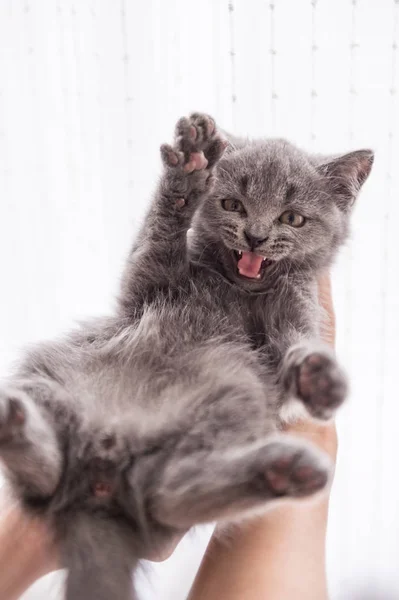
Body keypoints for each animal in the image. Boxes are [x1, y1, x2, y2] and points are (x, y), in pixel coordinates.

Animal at [0, 113, 376, 600]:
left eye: (292, 217)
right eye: (233, 204)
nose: (256, 237)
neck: (236, 291)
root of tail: (101, 474)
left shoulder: (296, 309)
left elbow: (297, 343)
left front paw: (317, 377)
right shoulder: (146, 286)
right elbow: (158, 236)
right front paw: (190, 170)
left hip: (230, 414)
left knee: (167, 492)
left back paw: (285, 471)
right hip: (51, 377)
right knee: (49, 478)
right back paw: (15, 422)